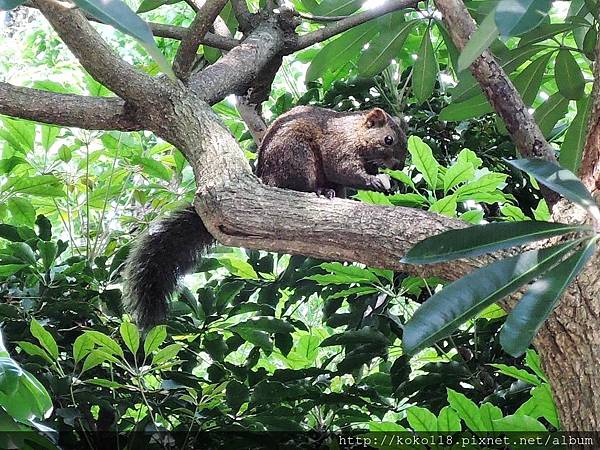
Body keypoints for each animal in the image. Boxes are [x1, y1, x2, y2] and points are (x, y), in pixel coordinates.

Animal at [125, 107, 410, 328]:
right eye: (388, 140)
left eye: (405, 141)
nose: (399, 166)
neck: (354, 132)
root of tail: (266, 178)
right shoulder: (338, 146)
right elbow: (344, 169)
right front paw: (375, 181)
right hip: (297, 156)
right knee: (298, 184)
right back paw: (317, 191)